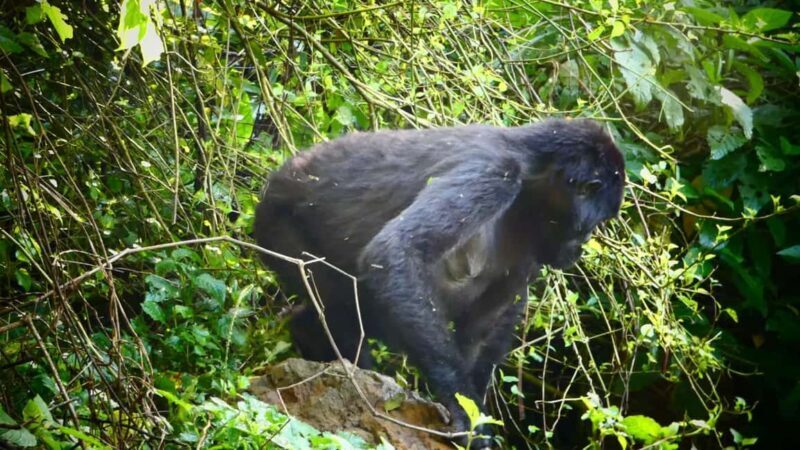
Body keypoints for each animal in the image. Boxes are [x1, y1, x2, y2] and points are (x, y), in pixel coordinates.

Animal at [253, 118, 625, 448]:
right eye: (594, 223)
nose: (580, 247)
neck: (533, 164)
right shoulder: (493, 173)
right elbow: (397, 253)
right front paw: (463, 411)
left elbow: (486, 323)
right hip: (277, 225)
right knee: (343, 307)